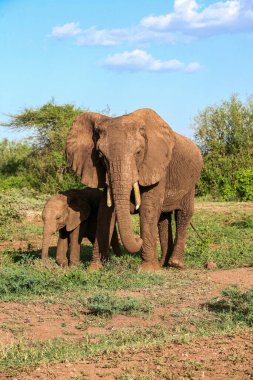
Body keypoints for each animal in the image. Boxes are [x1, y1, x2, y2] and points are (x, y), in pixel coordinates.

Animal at [65, 108, 204, 272]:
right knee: (163, 219)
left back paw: (175, 264)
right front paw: (94, 269)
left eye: (138, 152)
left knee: (183, 214)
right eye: (101, 155)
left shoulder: (157, 166)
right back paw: (163, 264)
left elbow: (148, 209)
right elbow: (105, 212)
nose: (138, 238)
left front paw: (148, 270)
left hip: (190, 183)